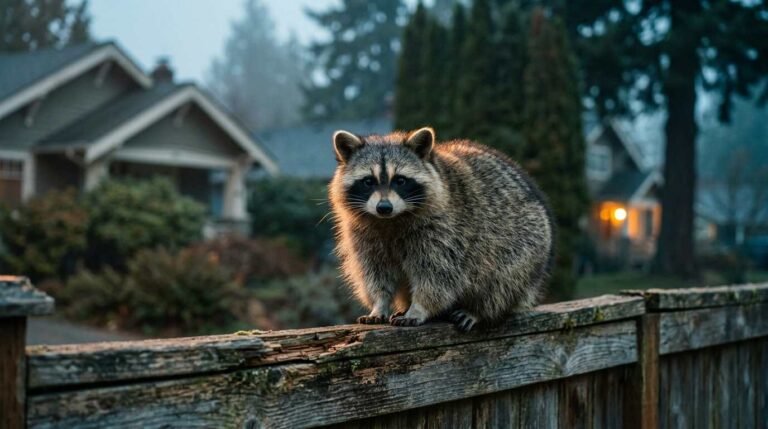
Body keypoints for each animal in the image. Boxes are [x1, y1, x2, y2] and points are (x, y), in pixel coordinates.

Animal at [328, 127, 554, 331]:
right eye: (368, 181)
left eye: (400, 180)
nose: (384, 207)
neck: (390, 220)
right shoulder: (363, 235)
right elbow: (375, 273)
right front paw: (380, 303)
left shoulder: (446, 232)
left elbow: (437, 276)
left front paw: (419, 308)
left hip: (526, 248)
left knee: (501, 282)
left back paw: (478, 310)